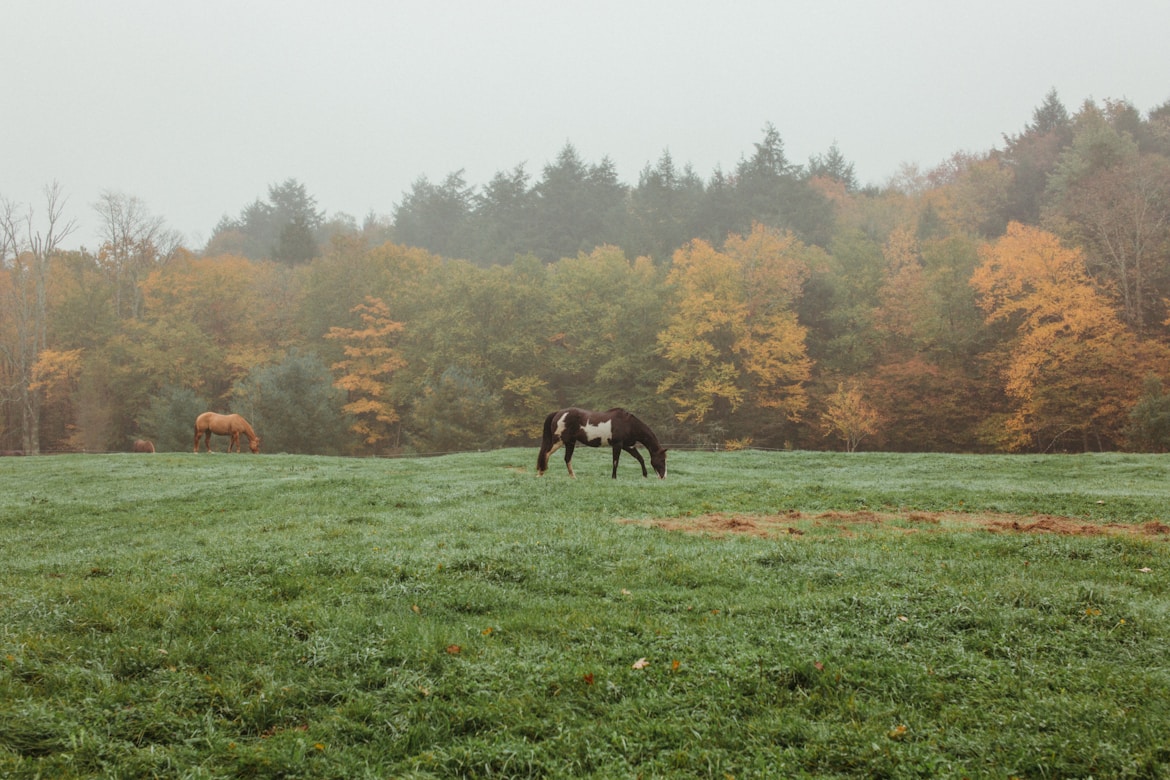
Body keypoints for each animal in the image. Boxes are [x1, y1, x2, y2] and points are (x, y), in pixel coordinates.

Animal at [535, 406, 669, 479]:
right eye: (662, 460)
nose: (663, 476)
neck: (628, 424)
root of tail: (558, 413)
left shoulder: (628, 446)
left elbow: (640, 458)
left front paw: (645, 475)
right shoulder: (618, 445)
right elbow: (615, 462)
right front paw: (614, 477)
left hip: (570, 443)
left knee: (567, 459)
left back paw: (573, 477)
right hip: (559, 441)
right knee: (546, 454)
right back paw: (540, 473)